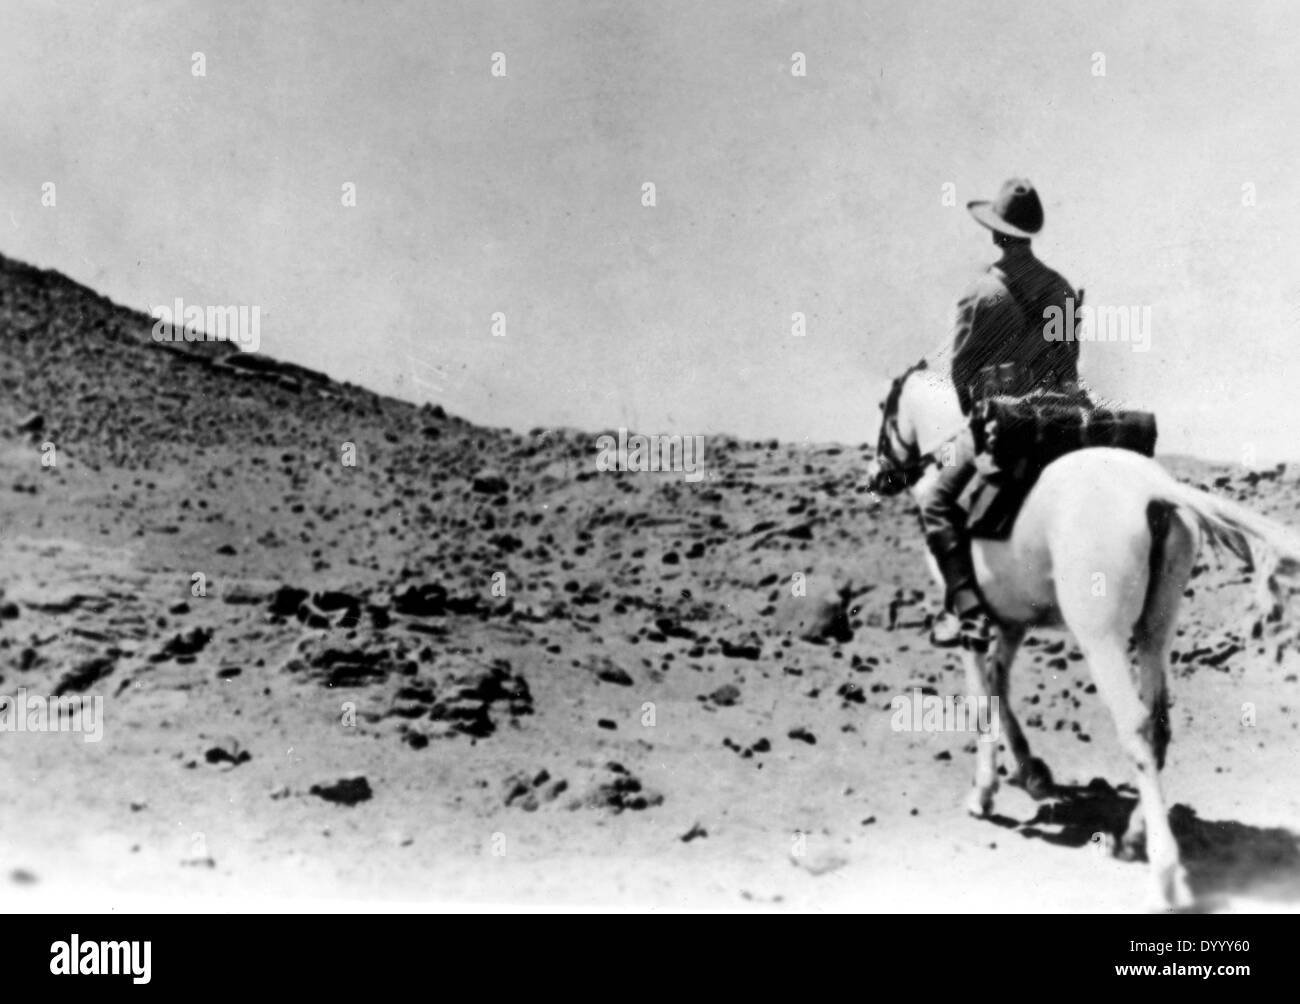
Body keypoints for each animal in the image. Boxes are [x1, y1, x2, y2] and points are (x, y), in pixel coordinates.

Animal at [863, 361, 1300, 910]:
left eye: (885, 408)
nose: (877, 476)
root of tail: (1152, 489)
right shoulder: (1010, 623)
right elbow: (1001, 687)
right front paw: (1032, 772)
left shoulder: (975, 627)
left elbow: (983, 699)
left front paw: (984, 791)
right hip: (1154, 632)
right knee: (1157, 723)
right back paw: (1132, 835)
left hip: (1101, 638)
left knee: (1136, 726)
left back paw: (1165, 872)